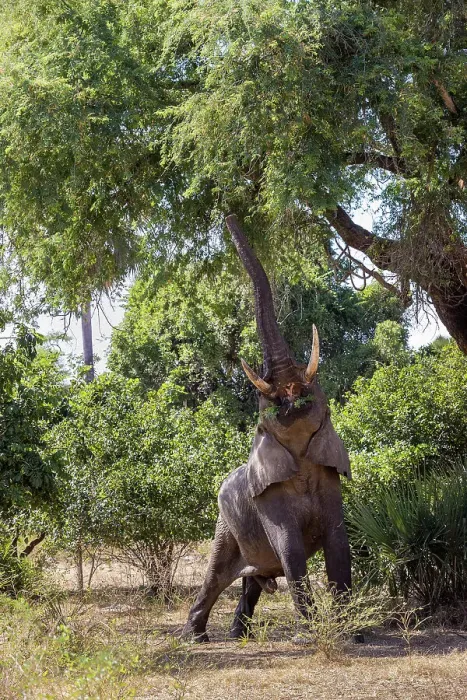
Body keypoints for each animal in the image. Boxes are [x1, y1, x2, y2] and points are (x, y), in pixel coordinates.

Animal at [182, 214, 353, 642]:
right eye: (266, 404)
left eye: (315, 387)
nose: (228, 214)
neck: (300, 457)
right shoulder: (267, 498)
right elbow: (291, 550)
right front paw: (308, 638)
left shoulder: (329, 475)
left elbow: (339, 543)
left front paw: (353, 635)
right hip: (225, 525)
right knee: (215, 576)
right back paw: (196, 637)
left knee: (251, 583)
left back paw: (236, 637)